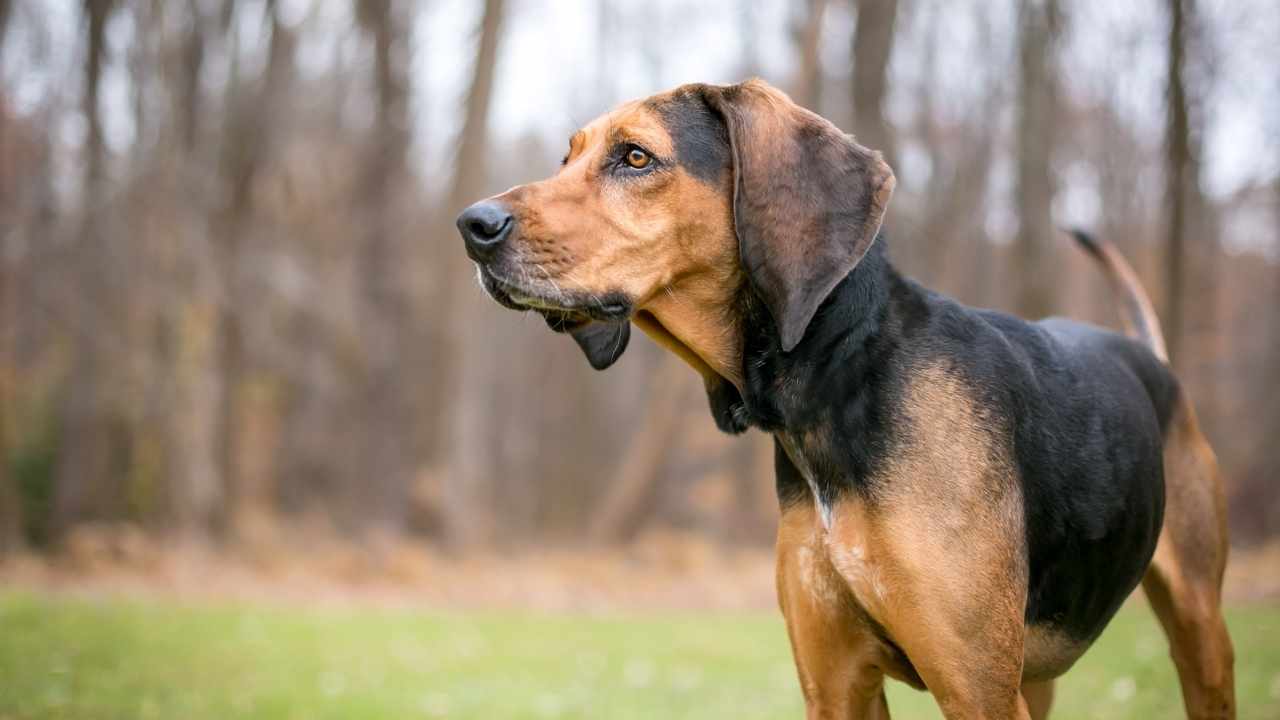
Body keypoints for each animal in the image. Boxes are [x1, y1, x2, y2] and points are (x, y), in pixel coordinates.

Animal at [455, 79, 1233, 717]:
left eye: (636, 157)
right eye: (566, 158)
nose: (472, 227)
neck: (838, 377)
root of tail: (1147, 354)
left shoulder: (975, 689)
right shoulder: (835, 683)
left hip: (1199, 632)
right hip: (1035, 677)